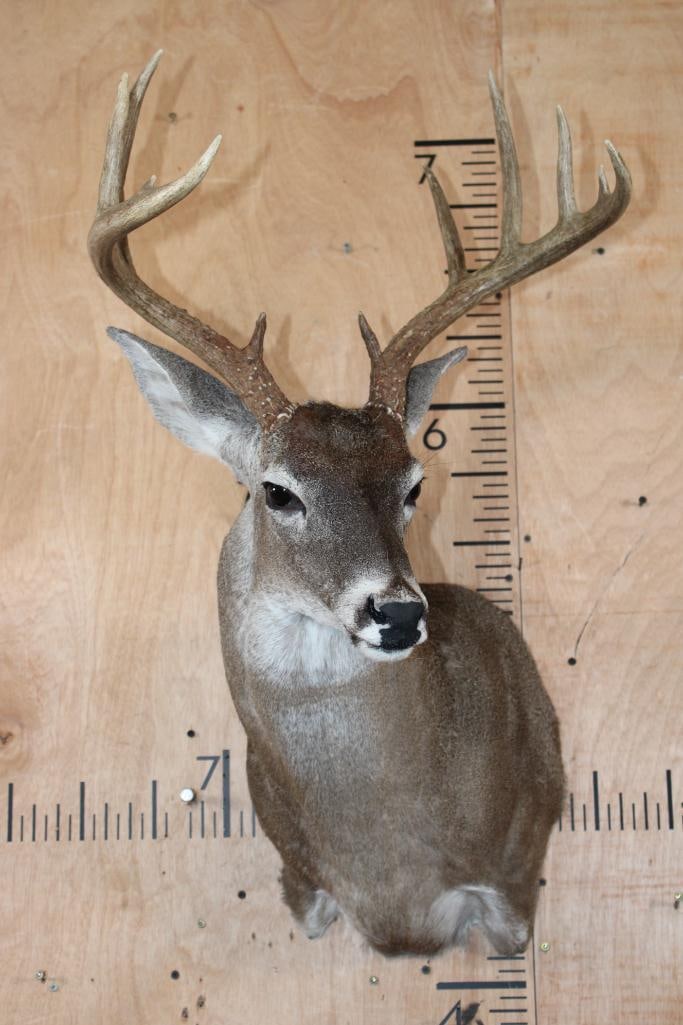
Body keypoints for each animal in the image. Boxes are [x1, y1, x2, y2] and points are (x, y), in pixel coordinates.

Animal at [88, 52, 630, 957]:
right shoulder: (297, 883)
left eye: (414, 483)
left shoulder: (517, 876)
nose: (398, 612)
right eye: (276, 489)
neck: (384, 853)